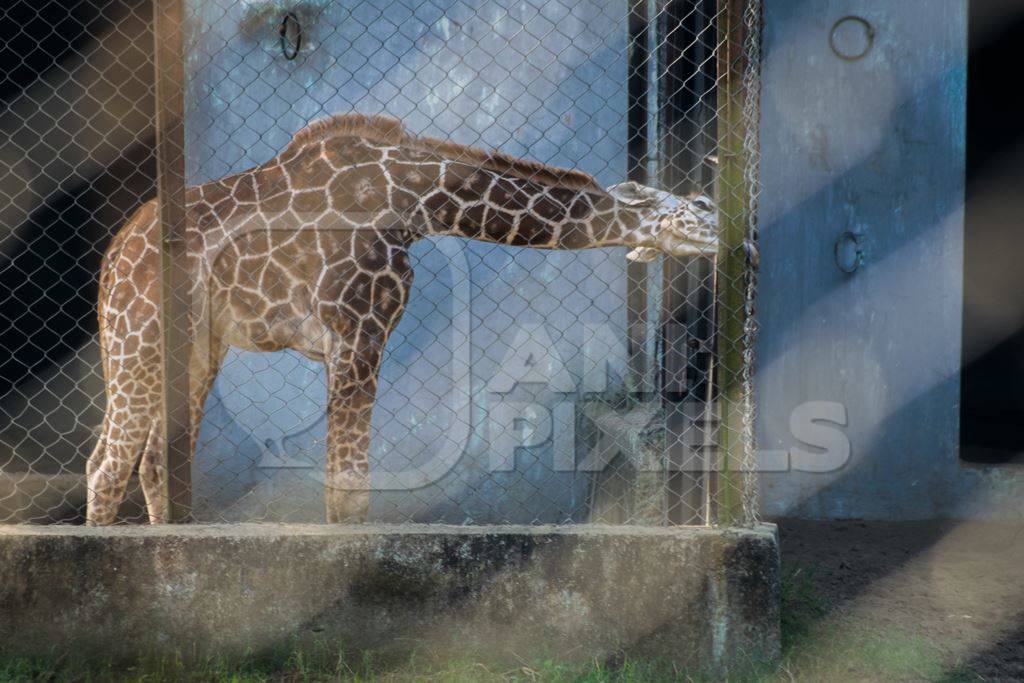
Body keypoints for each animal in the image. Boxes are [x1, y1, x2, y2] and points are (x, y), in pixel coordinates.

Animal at [88, 114, 716, 528]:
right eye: (698, 208)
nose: (725, 238)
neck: (417, 202)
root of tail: (114, 254)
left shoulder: (357, 338)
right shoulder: (358, 331)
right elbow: (348, 488)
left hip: (195, 346)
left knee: (152, 463)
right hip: (136, 336)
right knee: (107, 466)